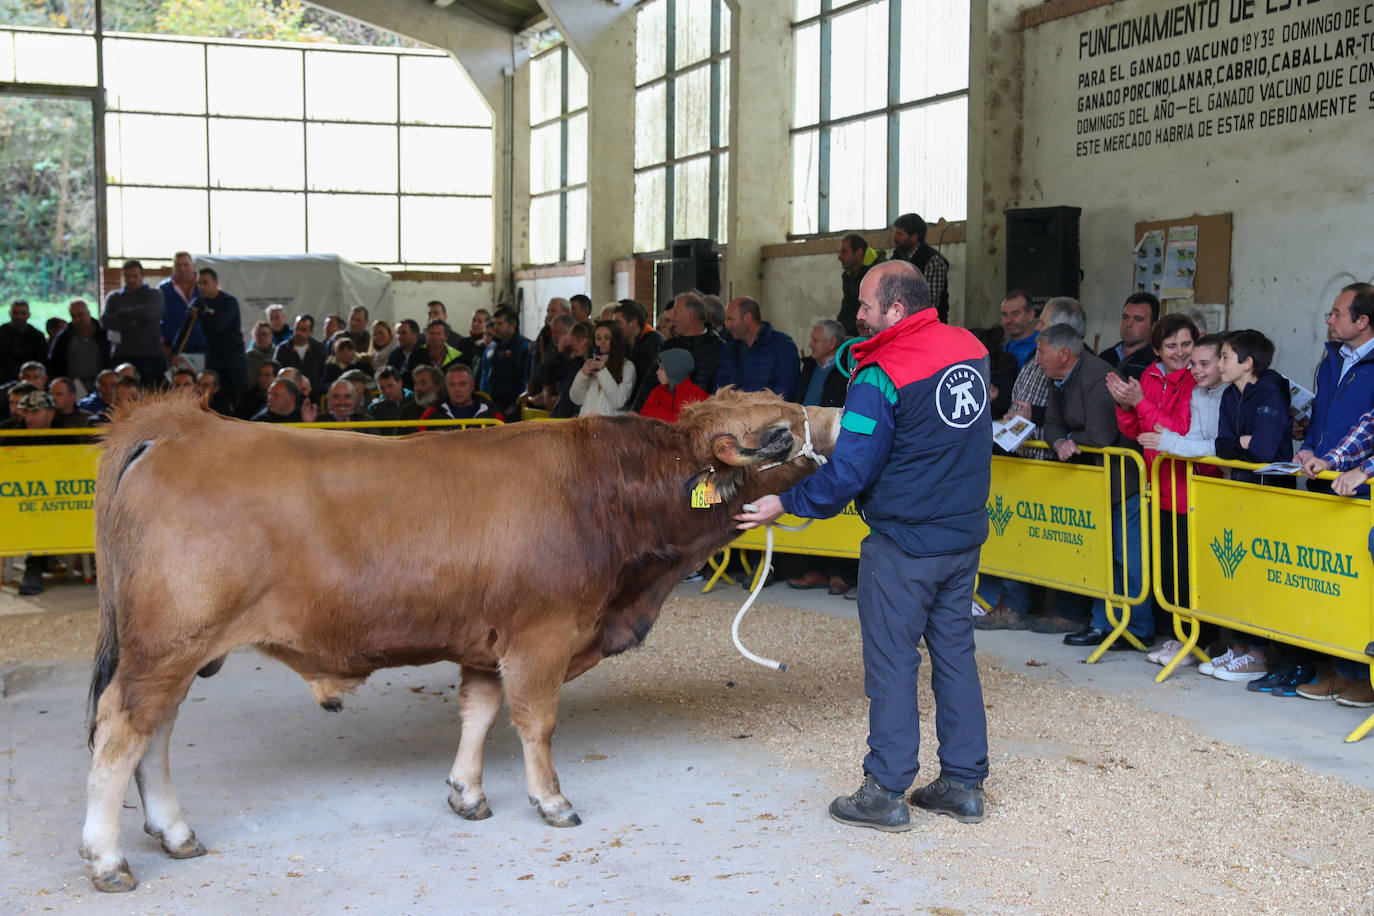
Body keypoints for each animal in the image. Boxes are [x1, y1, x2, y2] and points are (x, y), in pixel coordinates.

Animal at [80, 390, 840, 889]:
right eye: (777, 432)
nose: (838, 414)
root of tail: (181, 426)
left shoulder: (486, 640)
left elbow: (479, 712)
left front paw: (467, 794)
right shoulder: (543, 634)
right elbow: (535, 720)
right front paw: (551, 801)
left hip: (177, 652)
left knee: (155, 734)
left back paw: (174, 832)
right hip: (167, 646)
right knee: (121, 731)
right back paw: (109, 857)